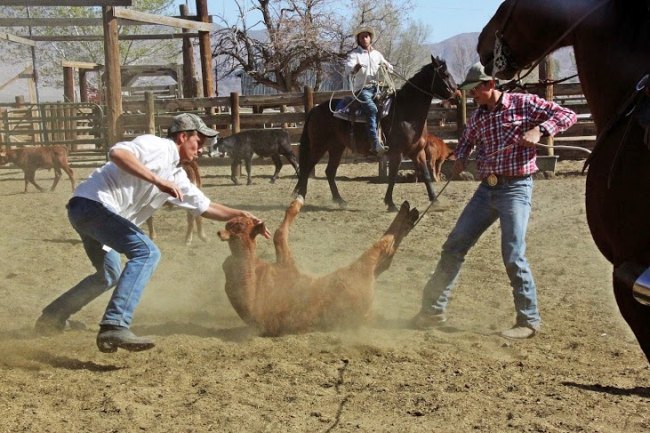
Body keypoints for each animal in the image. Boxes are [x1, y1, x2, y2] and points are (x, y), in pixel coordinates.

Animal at [218, 195, 418, 334]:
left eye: (237, 223)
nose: (222, 230)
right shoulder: (286, 263)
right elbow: (279, 234)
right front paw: (298, 201)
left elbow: (278, 235)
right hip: (363, 267)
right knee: (384, 248)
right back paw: (408, 213)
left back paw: (409, 216)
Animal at [294, 55, 456, 211]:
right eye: (445, 75)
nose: (456, 92)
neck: (406, 112)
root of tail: (315, 109)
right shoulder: (396, 153)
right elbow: (393, 176)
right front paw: (390, 203)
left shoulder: (418, 152)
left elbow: (426, 175)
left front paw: (435, 200)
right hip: (319, 146)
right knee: (307, 168)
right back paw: (301, 196)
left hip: (336, 147)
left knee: (329, 172)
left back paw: (340, 200)